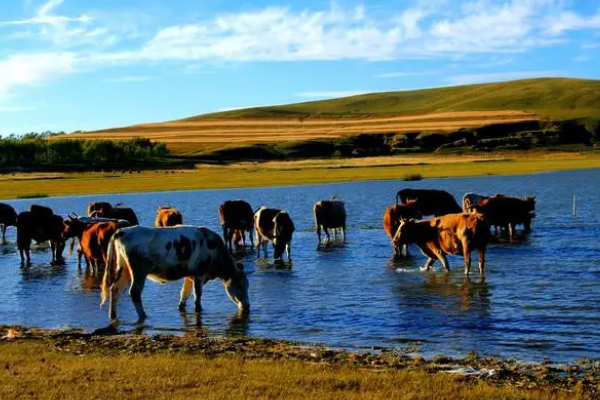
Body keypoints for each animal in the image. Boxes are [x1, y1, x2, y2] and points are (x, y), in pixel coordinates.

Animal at [101, 225, 248, 322]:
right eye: (240, 286)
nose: (247, 306)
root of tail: (123, 231)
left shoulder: (189, 276)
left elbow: (184, 294)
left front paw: (181, 307)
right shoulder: (199, 274)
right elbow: (197, 295)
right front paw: (199, 310)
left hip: (124, 269)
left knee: (114, 289)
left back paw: (113, 316)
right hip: (138, 271)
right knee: (134, 292)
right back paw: (143, 315)